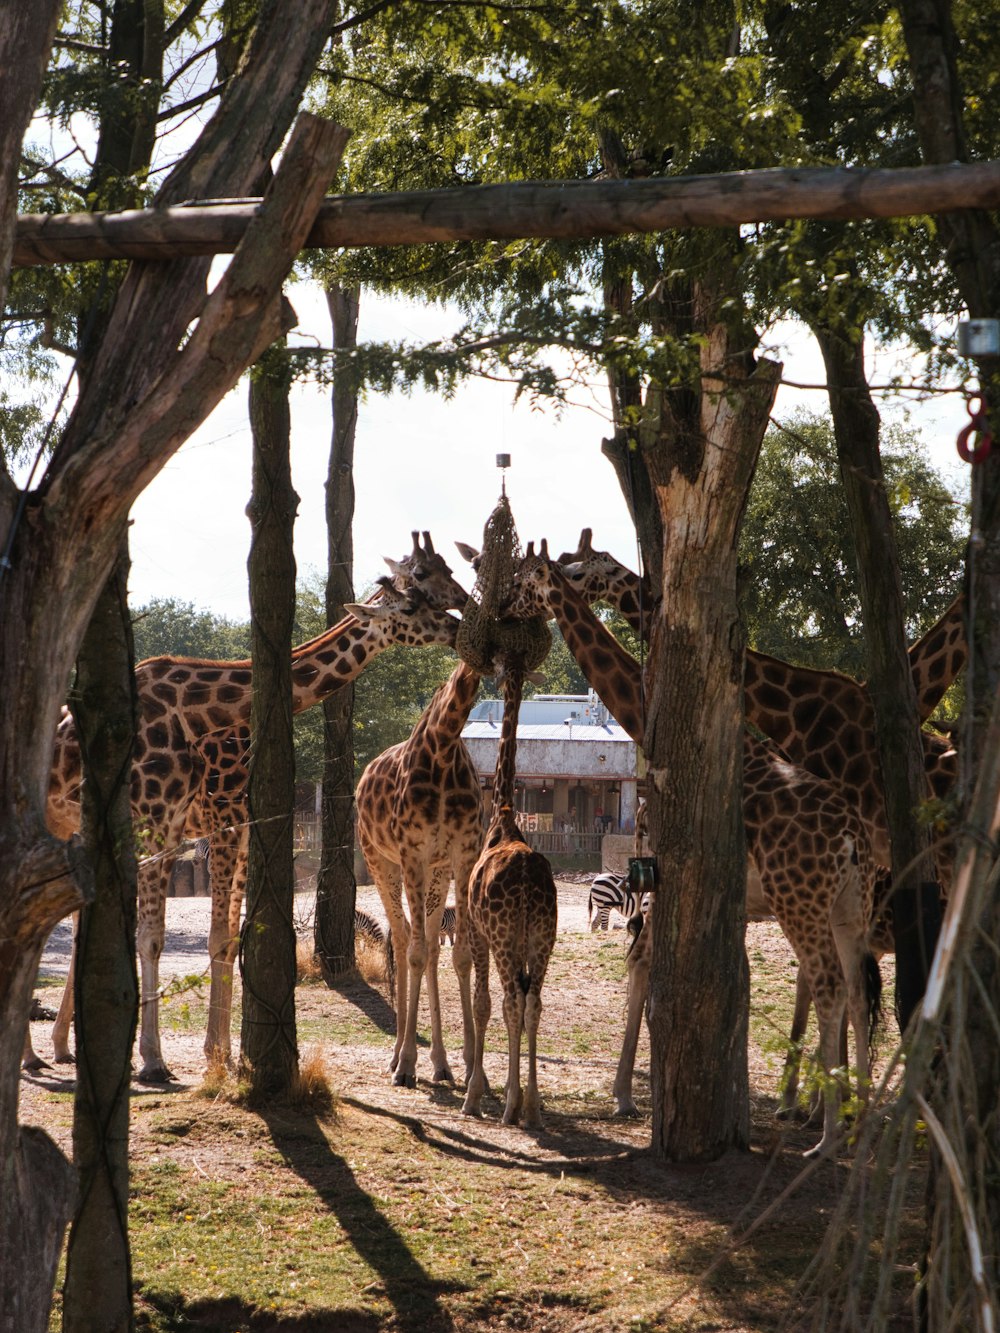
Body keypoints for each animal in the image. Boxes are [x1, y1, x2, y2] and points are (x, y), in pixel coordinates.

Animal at [34, 573, 466, 1082]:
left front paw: (221, 1054)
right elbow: (166, 936)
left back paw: (55, 1048)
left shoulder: (231, 827)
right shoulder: (197, 822)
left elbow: (226, 937)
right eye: (413, 607)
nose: (457, 625)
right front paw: (163, 1058)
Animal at [357, 661, 490, 1087]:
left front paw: (472, 1066)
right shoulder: (412, 853)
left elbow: (461, 955)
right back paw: (398, 1056)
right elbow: (413, 953)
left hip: (436, 871)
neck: (443, 750)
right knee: (402, 939)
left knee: (430, 944)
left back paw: (441, 1062)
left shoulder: (461, 856)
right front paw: (406, 1065)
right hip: (380, 860)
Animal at [509, 546, 885, 1151]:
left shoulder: (664, 875)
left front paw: (624, 1096)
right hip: (851, 905)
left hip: (800, 902)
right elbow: (723, 982)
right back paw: (858, 1123)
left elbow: (643, 965)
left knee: (829, 986)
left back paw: (827, 1135)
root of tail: (852, 838)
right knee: (855, 990)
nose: (502, 603)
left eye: (533, 579)